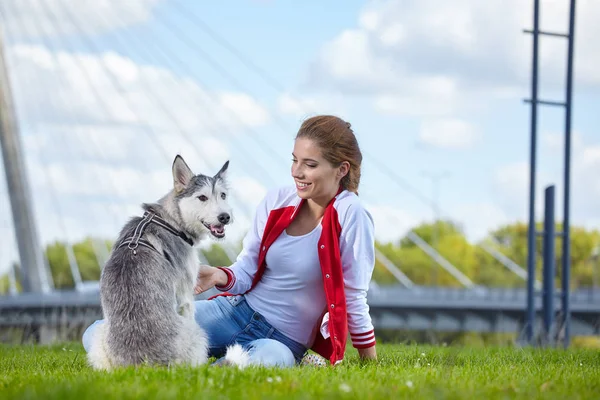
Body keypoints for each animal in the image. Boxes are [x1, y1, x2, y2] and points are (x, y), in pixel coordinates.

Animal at [86, 155, 232, 370]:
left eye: (222, 195)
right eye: (202, 198)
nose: (225, 217)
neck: (172, 221)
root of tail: (145, 365)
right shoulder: (185, 296)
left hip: (99, 335)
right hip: (198, 333)